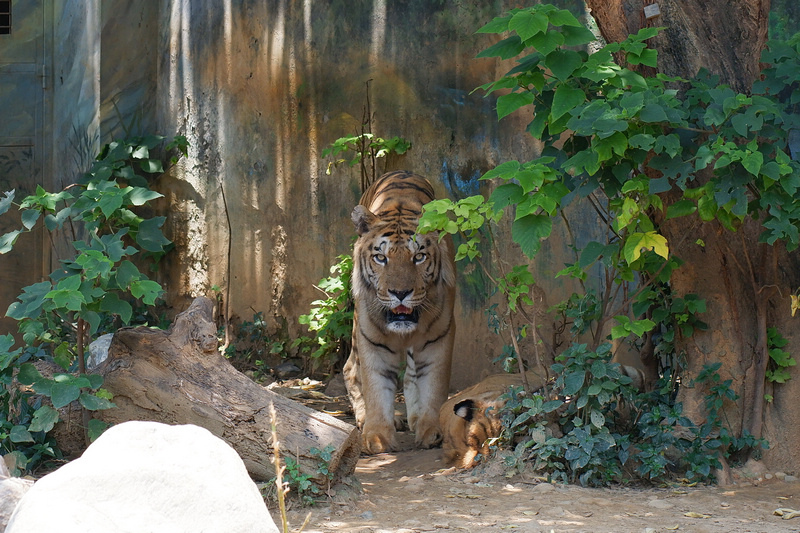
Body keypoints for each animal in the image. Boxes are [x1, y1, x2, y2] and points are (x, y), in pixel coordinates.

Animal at [342, 170, 456, 454]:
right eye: (381, 258)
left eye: (419, 257)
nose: (400, 292)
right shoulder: (372, 338)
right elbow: (376, 386)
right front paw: (377, 437)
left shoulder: (439, 335)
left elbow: (433, 383)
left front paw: (431, 430)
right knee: (350, 368)